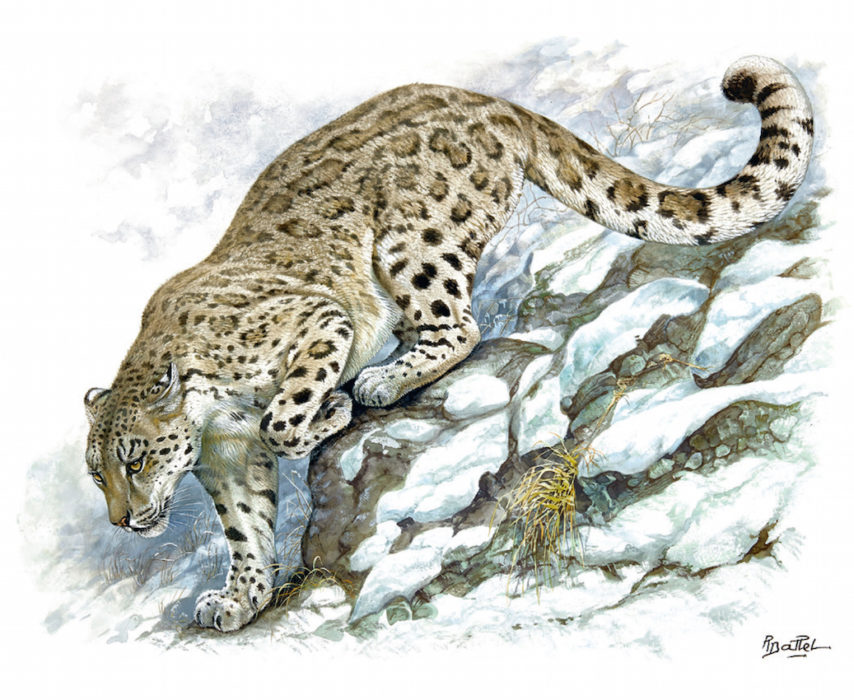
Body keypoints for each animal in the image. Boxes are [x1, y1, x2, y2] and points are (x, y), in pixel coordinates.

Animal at [84, 56, 813, 632]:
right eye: (98, 472)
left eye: (135, 459)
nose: (122, 520)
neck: (215, 424)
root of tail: (486, 99)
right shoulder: (228, 464)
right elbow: (246, 528)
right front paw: (240, 599)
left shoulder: (319, 324)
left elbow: (282, 418)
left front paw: (332, 410)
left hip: (415, 244)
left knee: (459, 326)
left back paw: (383, 379)